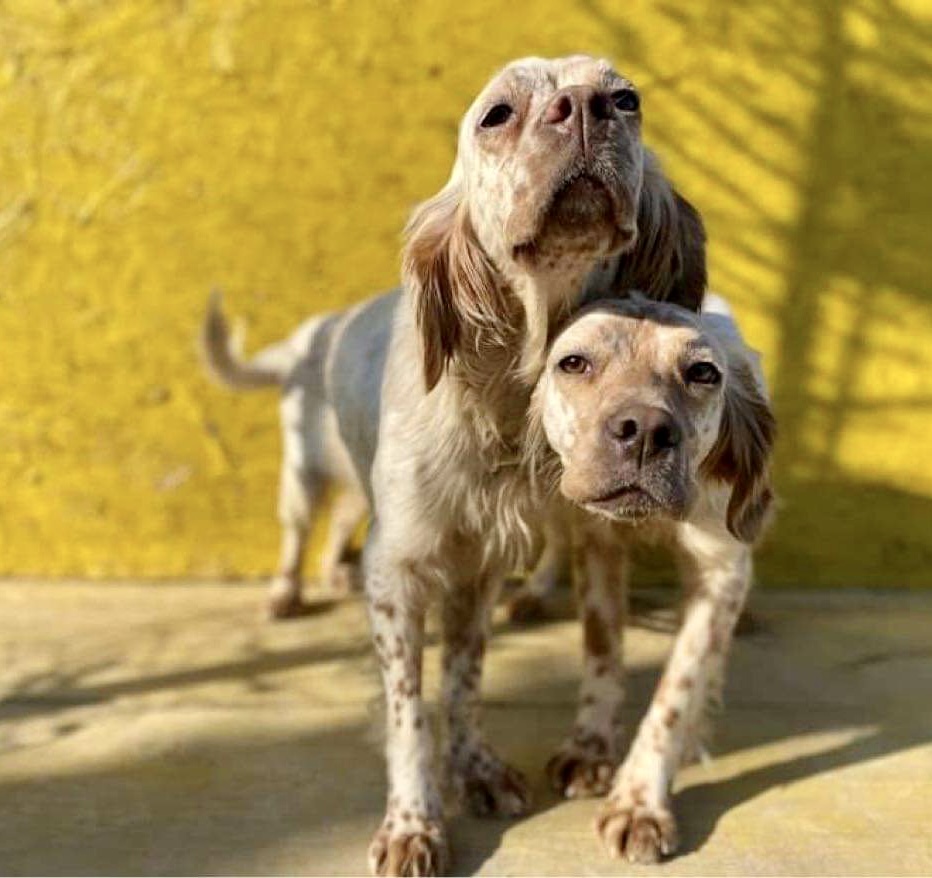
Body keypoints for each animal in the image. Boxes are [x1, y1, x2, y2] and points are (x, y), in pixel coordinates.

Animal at [528, 294, 776, 868]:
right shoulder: (597, 544)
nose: (644, 431)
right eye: (574, 362)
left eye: (703, 372)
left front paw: (640, 801)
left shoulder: (722, 568)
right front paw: (591, 745)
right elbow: (602, 652)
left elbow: (676, 691)